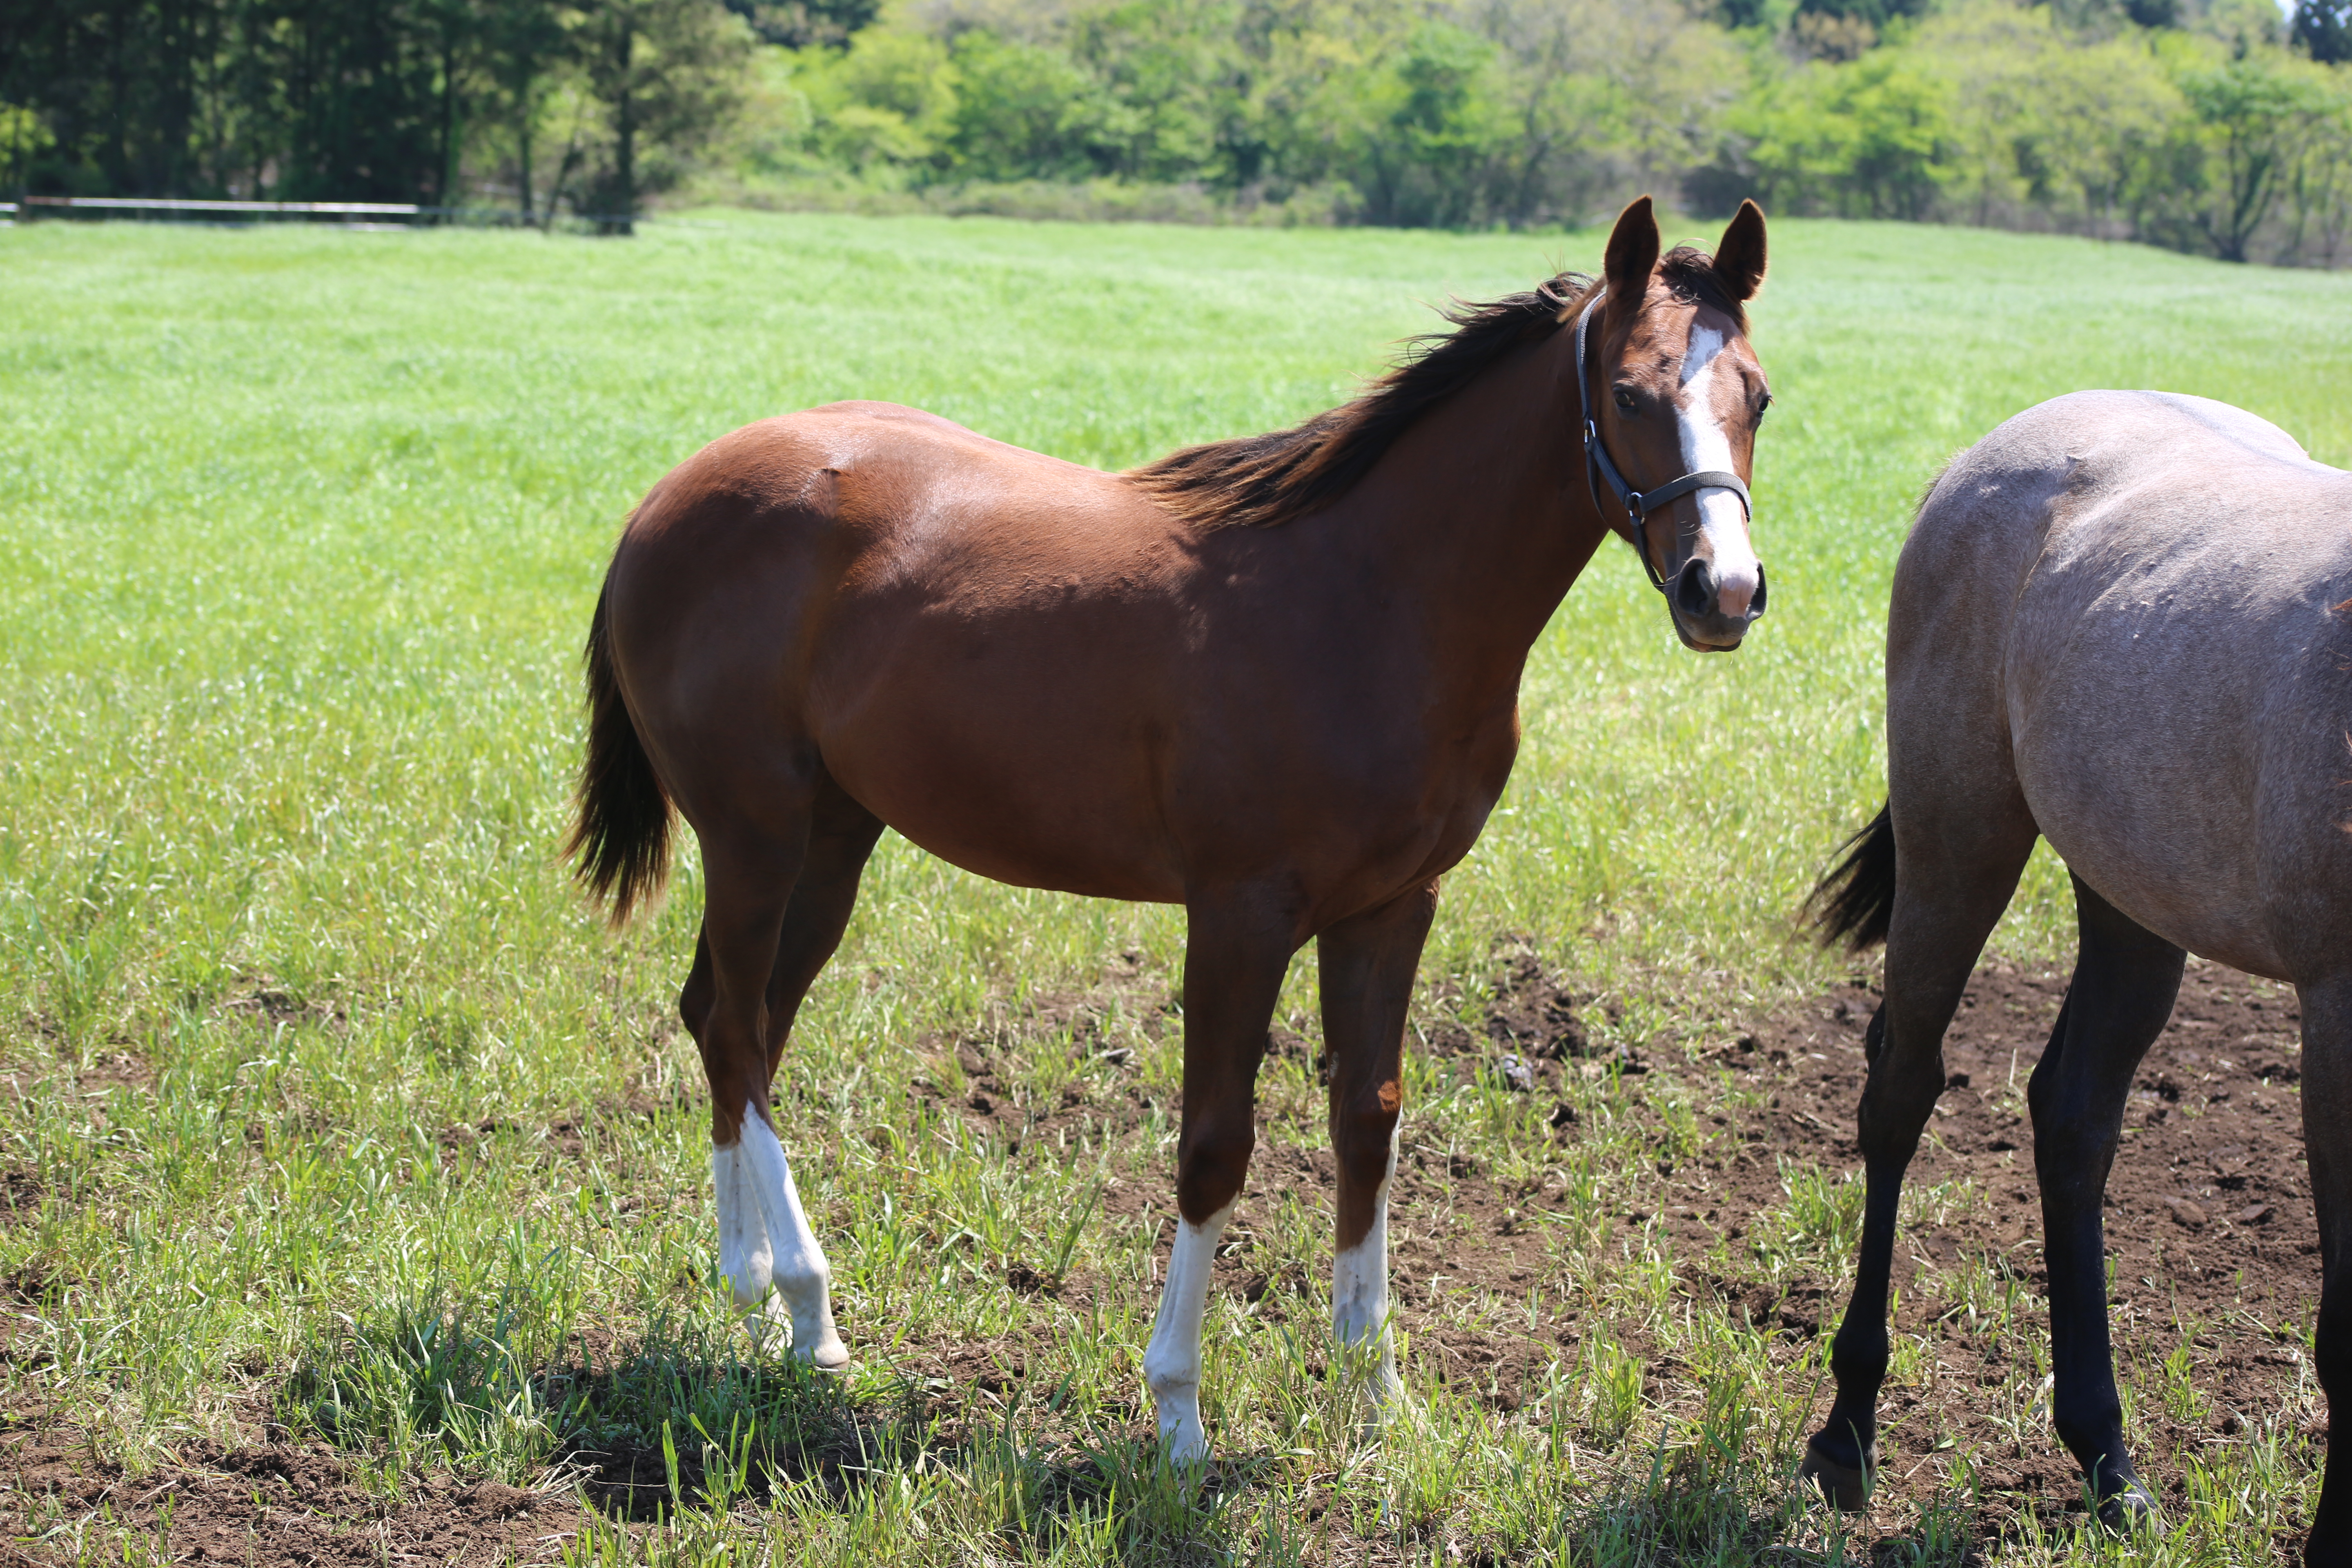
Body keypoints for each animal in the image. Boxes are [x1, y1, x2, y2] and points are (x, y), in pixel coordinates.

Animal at [569, 202, 1768, 1467]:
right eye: (1630, 393)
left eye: (1757, 394)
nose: (1724, 590)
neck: (1368, 596)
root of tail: (664, 499)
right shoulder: (1240, 914)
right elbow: (1213, 1146)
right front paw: (1179, 1412)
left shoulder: (1392, 908)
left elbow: (1367, 1124)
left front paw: (1375, 1396)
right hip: (752, 832)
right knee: (737, 1028)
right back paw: (806, 1302)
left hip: (835, 840)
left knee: (729, 1016)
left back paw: (752, 1296)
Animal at [1797, 392, 2352, 1561]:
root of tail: (1989, 450)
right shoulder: (2336, 1017)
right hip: (1958, 842)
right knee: (1900, 1094)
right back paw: (1848, 1427)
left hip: (2129, 900)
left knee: (2072, 1116)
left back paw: (2105, 1454)